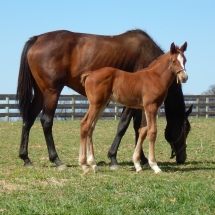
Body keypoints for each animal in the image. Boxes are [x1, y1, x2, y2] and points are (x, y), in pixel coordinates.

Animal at [80, 42, 187, 175]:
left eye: (185, 60)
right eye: (173, 61)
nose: (184, 77)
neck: (156, 77)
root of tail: (90, 74)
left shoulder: (144, 108)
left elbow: (142, 131)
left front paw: (137, 164)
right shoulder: (151, 107)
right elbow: (152, 132)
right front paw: (154, 166)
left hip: (101, 105)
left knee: (90, 127)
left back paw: (93, 164)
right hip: (96, 104)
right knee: (85, 125)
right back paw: (84, 165)